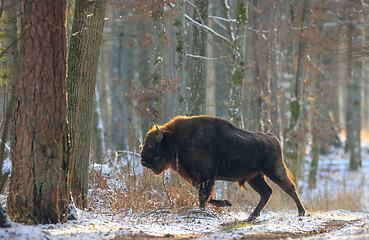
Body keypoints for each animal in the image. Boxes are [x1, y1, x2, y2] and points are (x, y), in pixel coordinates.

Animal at [141, 115, 304, 220]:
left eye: (152, 144)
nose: (142, 160)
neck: (176, 139)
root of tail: (273, 138)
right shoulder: (200, 178)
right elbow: (208, 196)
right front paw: (226, 203)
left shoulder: (206, 176)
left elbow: (204, 196)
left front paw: (202, 211)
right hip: (255, 177)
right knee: (267, 192)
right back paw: (251, 217)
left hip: (274, 171)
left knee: (290, 188)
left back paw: (301, 212)